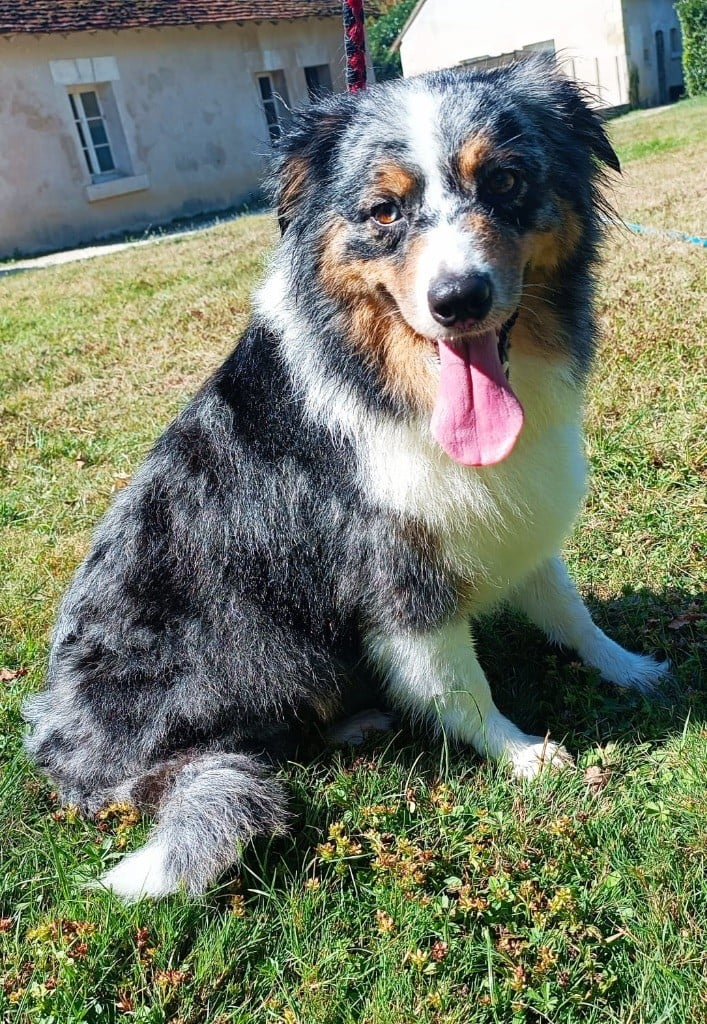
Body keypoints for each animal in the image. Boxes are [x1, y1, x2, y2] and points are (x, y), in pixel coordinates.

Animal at [24, 56, 668, 901]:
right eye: (384, 211)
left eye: (503, 181)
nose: (457, 299)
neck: (397, 379)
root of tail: (71, 765)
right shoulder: (397, 575)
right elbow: (457, 684)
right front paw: (523, 753)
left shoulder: (515, 513)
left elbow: (569, 612)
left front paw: (629, 668)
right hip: (247, 648)